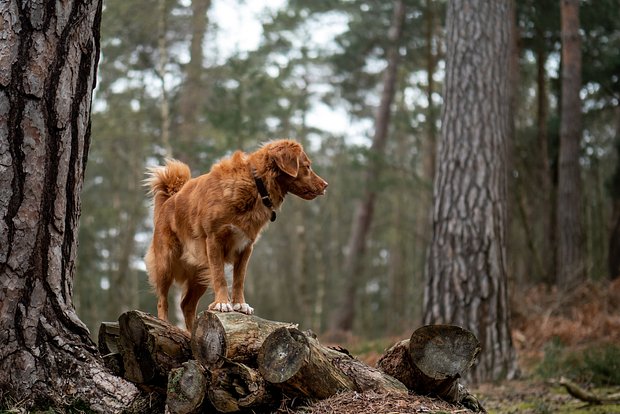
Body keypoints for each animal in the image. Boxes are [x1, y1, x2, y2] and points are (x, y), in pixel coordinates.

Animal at [145, 141, 330, 332]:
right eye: (307, 166)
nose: (326, 185)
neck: (257, 184)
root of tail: (170, 199)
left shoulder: (246, 246)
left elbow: (239, 279)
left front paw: (240, 304)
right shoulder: (214, 241)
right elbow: (220, 276)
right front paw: (222, 303)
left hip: (199, 272)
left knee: (186, 305)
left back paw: (191, 333)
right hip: (166, 263)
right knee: (162, 300)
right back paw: (163, 324)